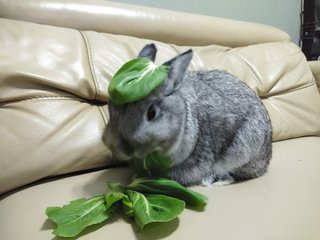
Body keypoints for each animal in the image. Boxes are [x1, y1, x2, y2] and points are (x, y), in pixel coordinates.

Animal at [105, 44, 272, 187]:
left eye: (152, 113)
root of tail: (266, 163)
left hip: (239, 152)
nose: (125, 149)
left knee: (230, 175)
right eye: (111, 107)